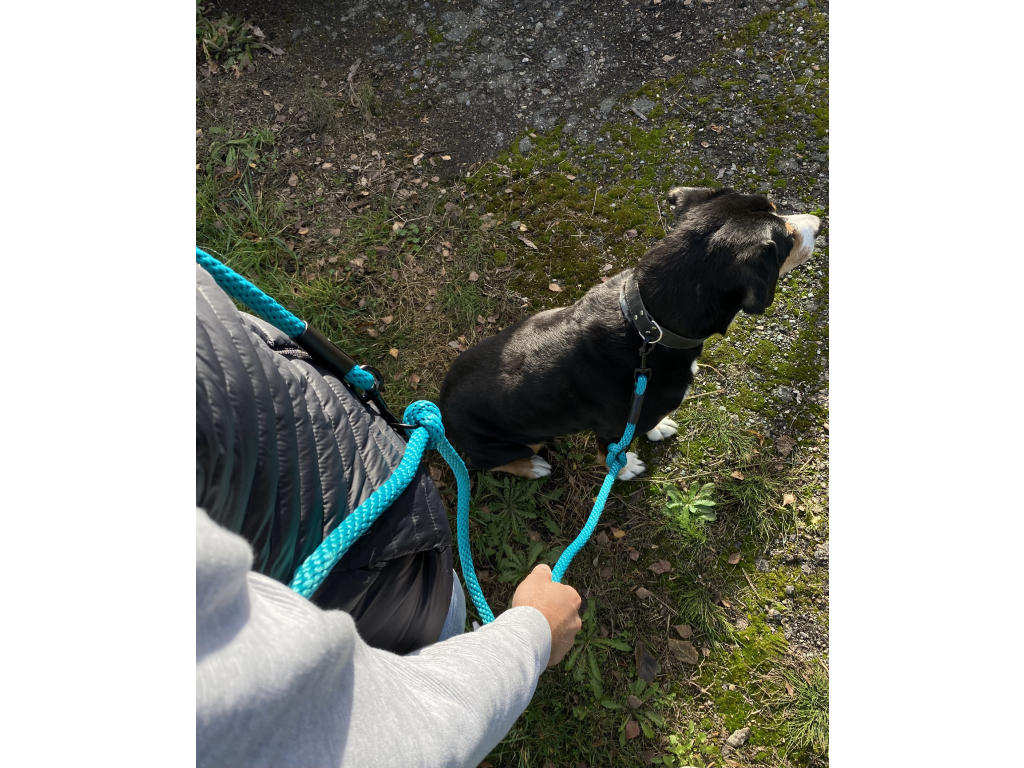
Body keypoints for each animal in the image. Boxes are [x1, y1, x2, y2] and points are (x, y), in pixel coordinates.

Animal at [438, 186, 821, 480]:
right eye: (787, 238)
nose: (819, 222)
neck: (650, 326)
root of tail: (440, 409)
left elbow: (647, 423)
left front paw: (658, 428)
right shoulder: (610, 429)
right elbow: (609, 456)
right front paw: (624, 469)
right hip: (509, 441)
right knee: (481, 464)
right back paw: (531, 467)